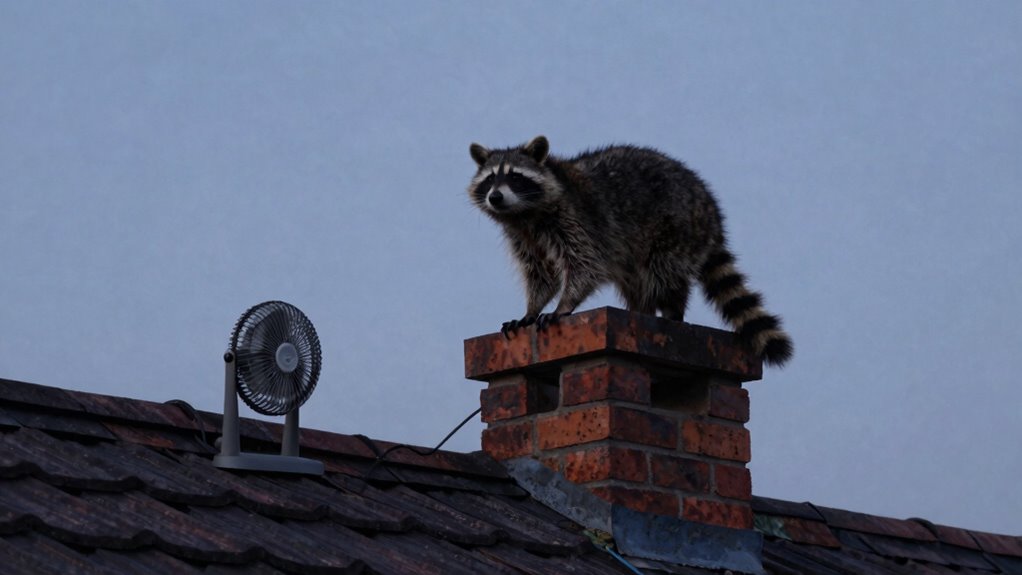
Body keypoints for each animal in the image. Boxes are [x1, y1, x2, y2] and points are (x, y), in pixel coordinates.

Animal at [467, 135, 793, 367]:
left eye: (515, 177)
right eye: (490, 179)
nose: (495, 197)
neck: (525, 215)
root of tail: (710, 208)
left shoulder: (577, 220)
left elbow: (585, 264)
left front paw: (564, 304)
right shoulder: (525, 238)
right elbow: (540, 274)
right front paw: (532, 309)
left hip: (675, 230)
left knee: (662, 273)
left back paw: (671, 308)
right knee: (636, 281)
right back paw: (640, 310)